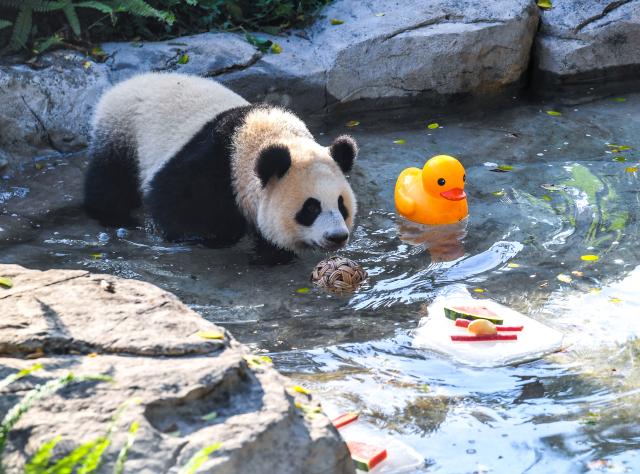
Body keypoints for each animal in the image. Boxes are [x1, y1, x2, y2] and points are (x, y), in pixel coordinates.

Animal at [83, 72, 358, 253]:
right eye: (310, 208)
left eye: (341, 205)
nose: (336, 236)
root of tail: (125, 83)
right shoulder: (209, 166)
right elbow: (177, 206)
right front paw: (213, 236)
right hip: (123, 131)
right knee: (110, 182)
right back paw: (115, 216)